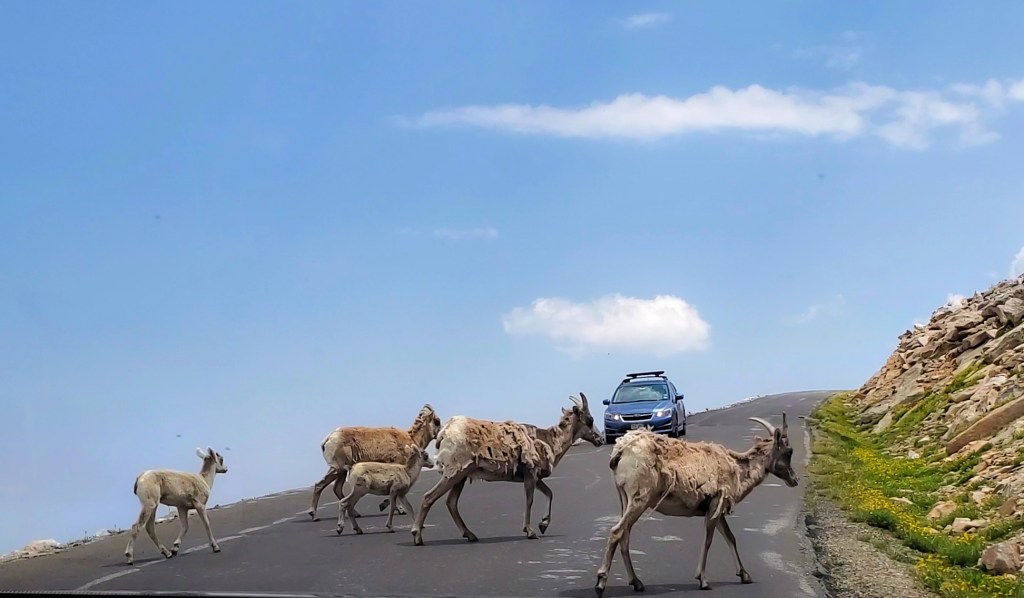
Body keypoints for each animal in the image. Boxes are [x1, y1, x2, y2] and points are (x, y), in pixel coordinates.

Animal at [308, 403, 441, 520]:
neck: (411, 439)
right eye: (437, 421)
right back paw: (314, 515)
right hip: (338, 469)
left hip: (342, 472)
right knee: (320, 485)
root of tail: (329, 438)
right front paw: (397, 509)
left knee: (336, 488)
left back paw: (355, 513)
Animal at [410, 393, 604, 546]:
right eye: (590, 419)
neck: (549, 441)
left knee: (451, 502)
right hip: (454, 473)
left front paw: (543, 525)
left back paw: (471, 535)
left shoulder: (535, 477)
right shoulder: (530, 474)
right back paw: (417, 536)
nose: (600, 439)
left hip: (461, 476)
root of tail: (445, 433)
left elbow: (549, 493)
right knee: (429, 497)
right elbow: (529, 500)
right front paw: (531, 532)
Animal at [594, 414, 799, 596]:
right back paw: (600, 584)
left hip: (625, 499)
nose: (794, 480)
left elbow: (730, 537)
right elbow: (708, 540)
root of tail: (620, 451)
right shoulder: (716, 503)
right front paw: (703, 580)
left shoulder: (715, 508)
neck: (737, 469)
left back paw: (637, 583)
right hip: (639, 498)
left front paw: (745, 575)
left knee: (625, 536)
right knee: (617, 532)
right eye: (788, 451)